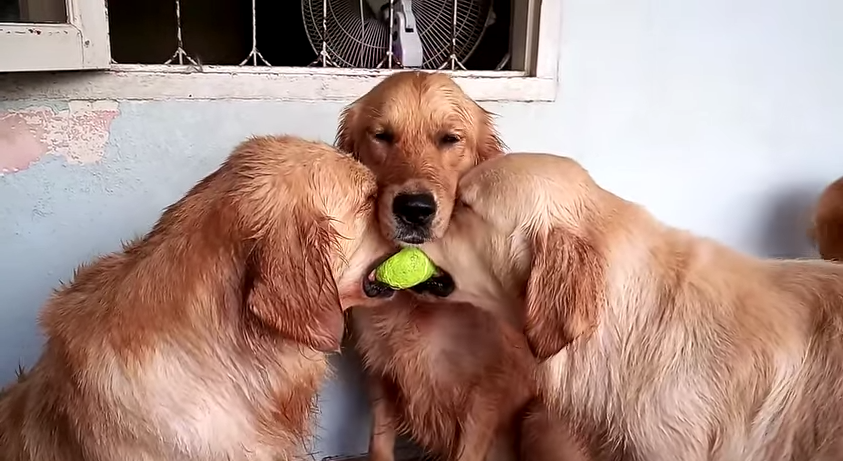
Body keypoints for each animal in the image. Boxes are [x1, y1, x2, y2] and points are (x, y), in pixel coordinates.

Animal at [340, 72, 536, 461]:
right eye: (382, 135)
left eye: (450, 139)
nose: (414, 209)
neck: (420, 301)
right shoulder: (382, 377)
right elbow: (379, 446)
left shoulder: (486, 397)